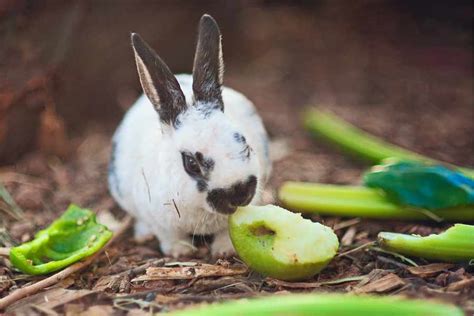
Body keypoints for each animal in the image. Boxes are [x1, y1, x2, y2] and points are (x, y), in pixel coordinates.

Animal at [108, 13, 270, 258]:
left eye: (245, 143)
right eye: (191, 163)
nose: (240, 193)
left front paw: (224, 250)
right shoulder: (161, 222)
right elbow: (169, 237)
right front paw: (181, 252)